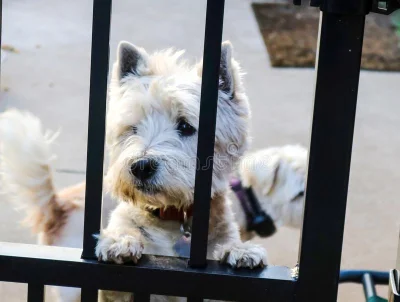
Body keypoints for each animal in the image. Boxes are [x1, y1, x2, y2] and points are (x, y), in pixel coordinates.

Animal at [2, 40, 268, 302]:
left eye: (185, 126)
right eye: (133, 128)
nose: (141, 167)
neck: (174, 218)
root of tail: (57, 207)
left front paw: (240, 250)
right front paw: (120, 242)